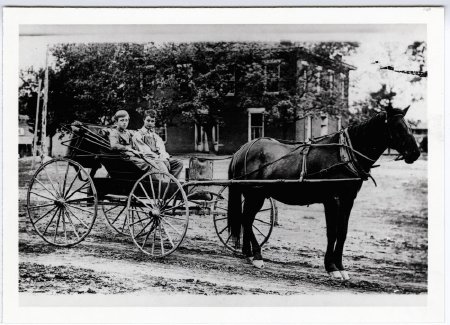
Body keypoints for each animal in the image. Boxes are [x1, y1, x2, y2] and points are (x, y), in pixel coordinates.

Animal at [229, 105, 422, 278]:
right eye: (397, 127)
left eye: (409, 126)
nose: (416, 153)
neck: (343, 154)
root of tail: (243, 149)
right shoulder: (332, 199)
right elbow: (332, 233)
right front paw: (331, 267)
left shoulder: (348, 199)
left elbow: (342, 233)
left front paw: (340, 267)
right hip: (255, 194)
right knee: (247, 219)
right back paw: (257, 255)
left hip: (255, 195)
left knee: (246, 219)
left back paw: (248, 253)